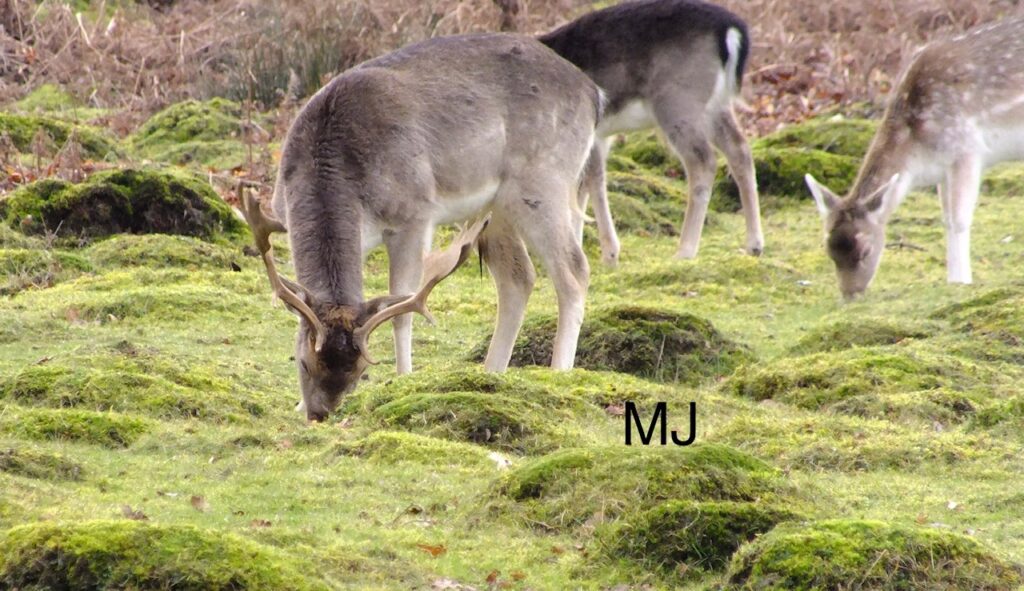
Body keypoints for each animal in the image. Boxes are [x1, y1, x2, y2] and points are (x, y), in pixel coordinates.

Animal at [238, 33, 602, 422]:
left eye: (361, 371)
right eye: (303, 363)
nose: (319, 413)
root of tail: (594, 94)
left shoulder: (413, 215)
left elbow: (401, 310)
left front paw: (403, 379)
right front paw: (295, 403)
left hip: (544, 180)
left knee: (574, 270)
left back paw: (559, 372)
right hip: (497, 206)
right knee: (519, 277)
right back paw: (492, 374)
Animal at [539, 0, 764, 266]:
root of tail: (731, 29)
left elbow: (591, 181)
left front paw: (609, 253)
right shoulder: (597, 137)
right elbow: (582, 184)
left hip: (678, 101)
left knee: (703, 160)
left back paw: (686, 249)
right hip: (716, 105)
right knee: (739, 148)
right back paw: (754, 244)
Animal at [806, 14, 1024, 300]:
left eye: (865, 250)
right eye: (828, 250)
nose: (850, 295)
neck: (918, 155)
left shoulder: (966, 149)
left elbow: (959, 220)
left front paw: (961, 281)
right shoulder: (943, 168)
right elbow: (946, 219)